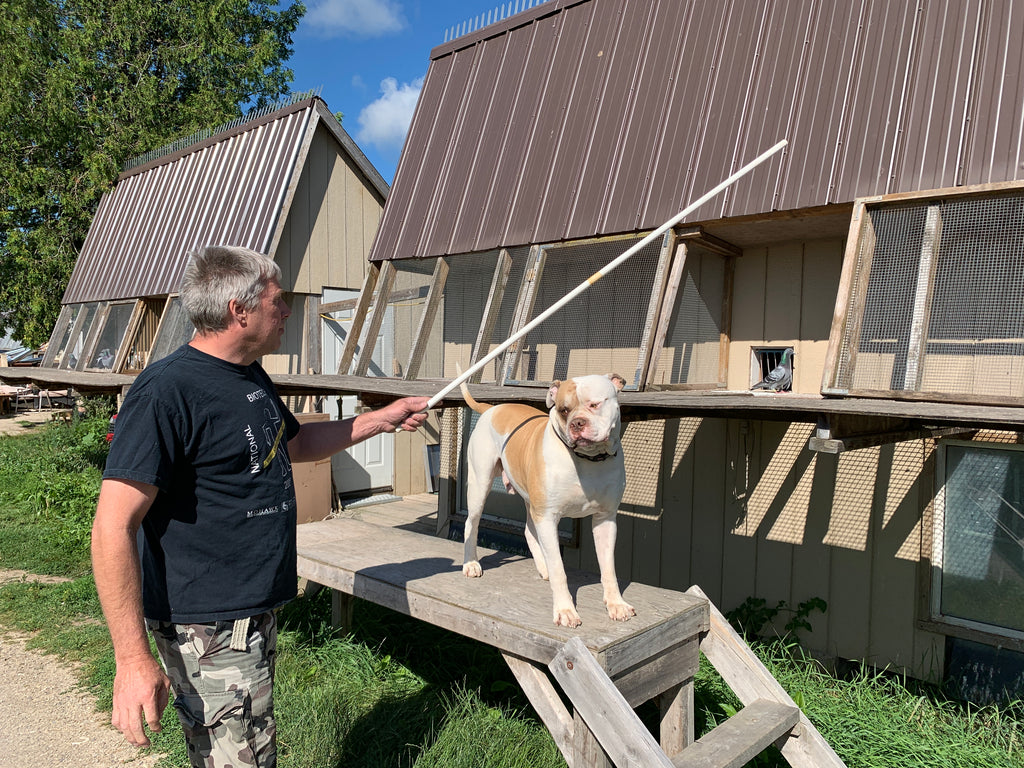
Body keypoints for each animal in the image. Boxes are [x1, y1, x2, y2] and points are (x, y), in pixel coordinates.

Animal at [462, 374, 634, 630]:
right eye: (564, 410)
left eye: (594, 404)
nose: (577, 423)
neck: (589, 460)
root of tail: (492, 408)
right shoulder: (548, 516)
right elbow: (559, 570)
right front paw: (565, 610)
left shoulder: (605, 519)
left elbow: (608, 568)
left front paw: (616, 604)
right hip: (480, 485)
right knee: (471, 523)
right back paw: (471, 564)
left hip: (530, 500)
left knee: (528, 530)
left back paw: (542, 567)